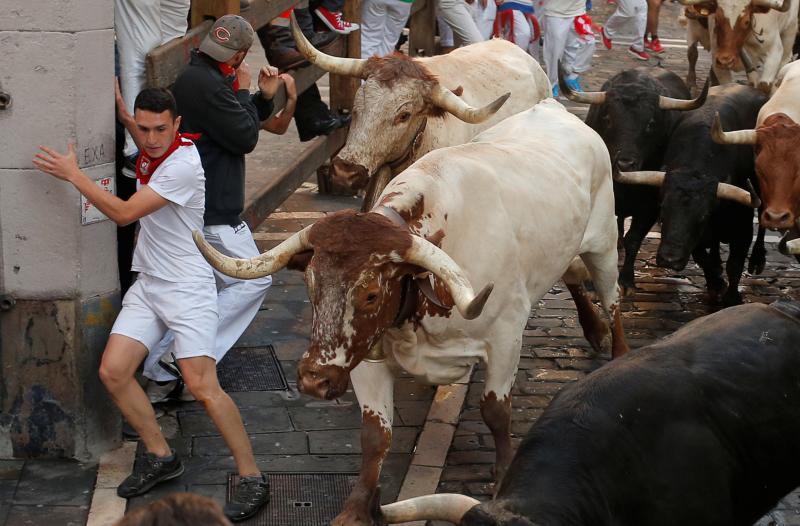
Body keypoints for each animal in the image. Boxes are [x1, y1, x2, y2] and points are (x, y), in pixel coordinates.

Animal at [197, 100, 628, 526]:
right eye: (312, 285)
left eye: (371, 295)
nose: (313, 380)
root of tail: (553, 107)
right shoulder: (365, 355)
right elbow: (375, 435)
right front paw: (355, 510)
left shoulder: (506, 337)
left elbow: (496, 411)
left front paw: (503, 473)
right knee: (573, 274)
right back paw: (592, 329)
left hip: (604, 244)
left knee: (612, 297)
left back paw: (618, 352)